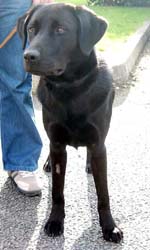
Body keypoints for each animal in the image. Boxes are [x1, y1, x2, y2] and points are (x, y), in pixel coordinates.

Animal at [17, 2, 123, 243]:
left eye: (61, 30)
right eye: (31, 29)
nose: (28, 56)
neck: (71, 90)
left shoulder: (98, 143)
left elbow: (103, 194)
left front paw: (109, 227)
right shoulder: (57, 143)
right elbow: (57, 191)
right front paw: (55, 221)